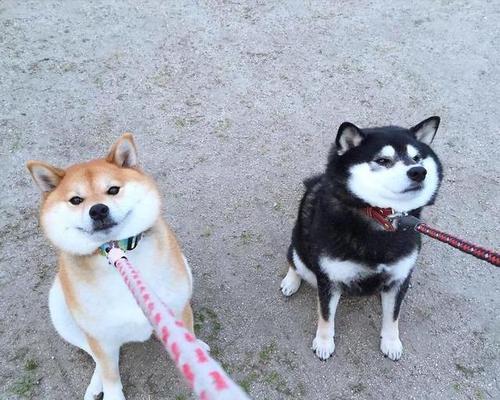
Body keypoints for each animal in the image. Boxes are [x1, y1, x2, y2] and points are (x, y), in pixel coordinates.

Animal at [26, 135, 203, 400]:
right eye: (76, 200)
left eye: (113, 190)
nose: (98, 209)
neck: (117, 255)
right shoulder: (100, 336)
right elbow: (109, 373)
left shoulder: (177, 308)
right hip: (60, 308)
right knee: (95, 357)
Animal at [282, 117, 442, 360]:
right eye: (383, 160)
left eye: (416, 158)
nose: (418, 171)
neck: (382, 218)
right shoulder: (329, 278)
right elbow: (326, 316)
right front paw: (324, 342)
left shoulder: (397, 279)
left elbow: (393, 316)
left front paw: (391, 342)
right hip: (298, 243)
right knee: (294, 260)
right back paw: (291, 281)